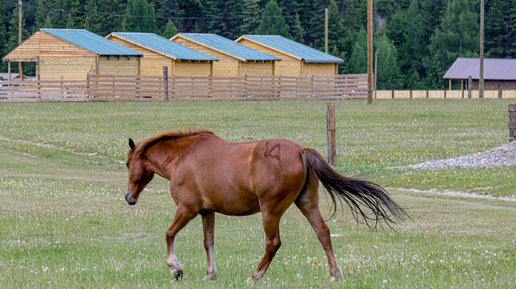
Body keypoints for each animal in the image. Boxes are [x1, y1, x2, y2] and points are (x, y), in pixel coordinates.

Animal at [124, 129, 404, 282]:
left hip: (271, 210)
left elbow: (169, 233)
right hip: (307, 203)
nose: (129, 197)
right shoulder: (206, 211)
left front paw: (176, 269)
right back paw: (335, 274)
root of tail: (300, 150)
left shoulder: (187, 208)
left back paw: (255, 276)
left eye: (127, 164)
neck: (183, 157)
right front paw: (210, 273)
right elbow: (208, 242)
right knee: (323, 233)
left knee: (273, 243)